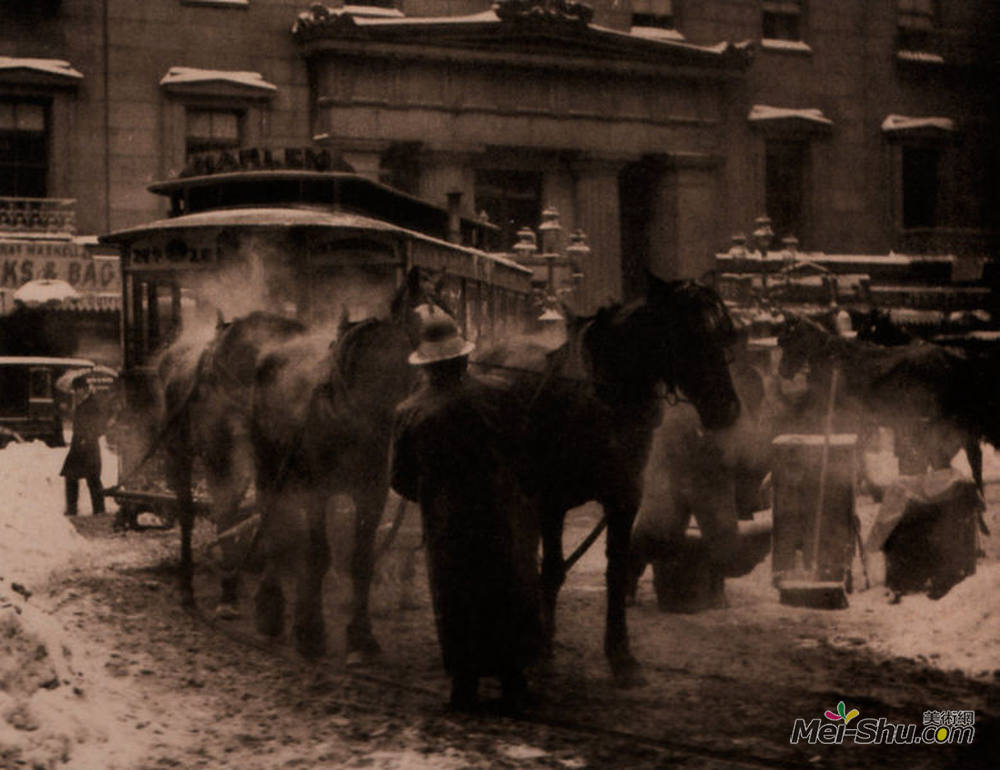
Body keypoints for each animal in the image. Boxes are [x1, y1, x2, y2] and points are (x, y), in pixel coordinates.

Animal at [470, 274, 744, 680]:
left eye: (722, 334)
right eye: (689, 335)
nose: (727, 410)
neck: (599, 401)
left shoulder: (623, 500)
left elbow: (616, 570)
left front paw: (621, 656)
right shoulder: (552, 502)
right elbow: (553, 570)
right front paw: (544, 651)